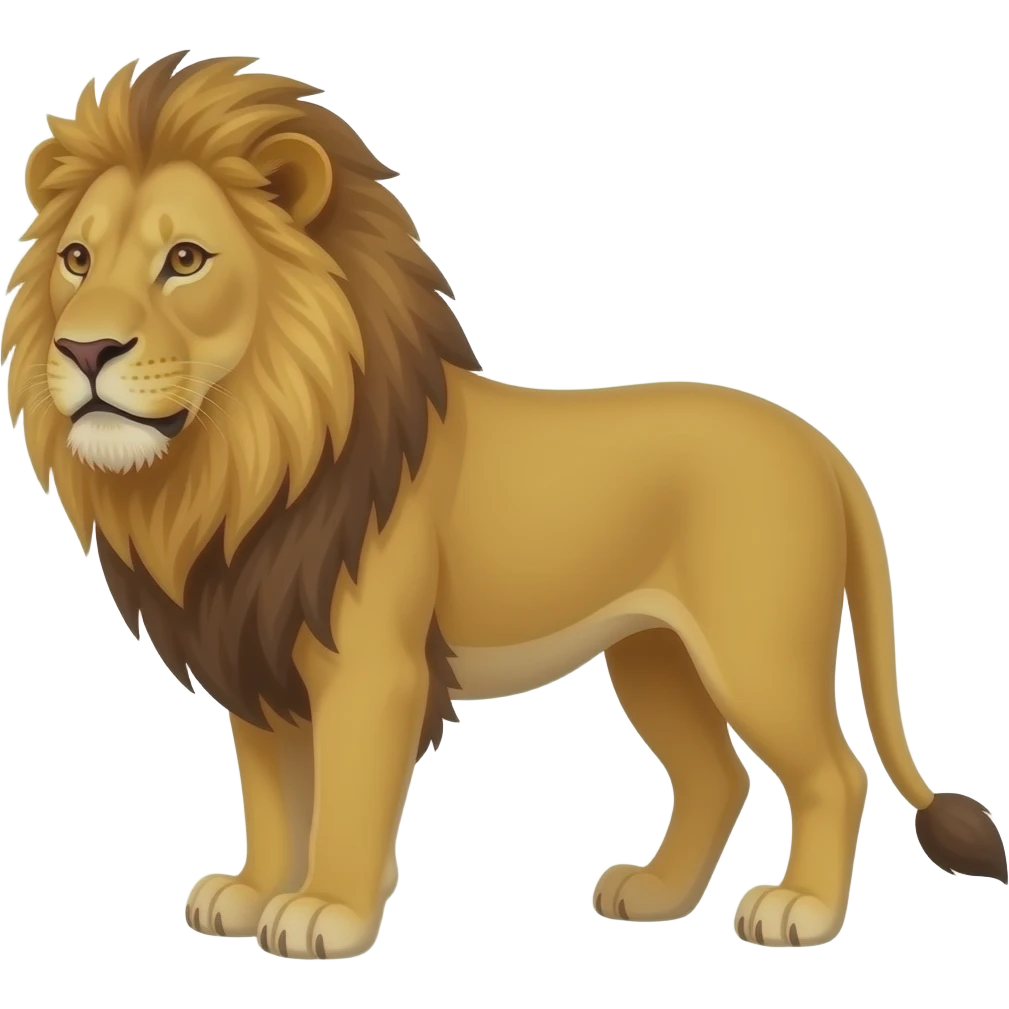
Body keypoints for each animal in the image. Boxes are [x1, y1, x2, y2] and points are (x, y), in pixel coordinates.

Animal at [3, 52, 1005, 960]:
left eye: (185, 259)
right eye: (77, 258)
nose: (84, 348)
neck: (240, 461)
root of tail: (822, 447)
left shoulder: (372, 667)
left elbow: (347, 799)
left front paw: (324, 910)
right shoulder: (253, 650)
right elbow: (274, 796)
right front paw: (249, 894)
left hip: (755, 649)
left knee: (834, 772)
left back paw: (799, 911)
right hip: (654, 655)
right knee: (717, 776)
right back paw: (655, 894)